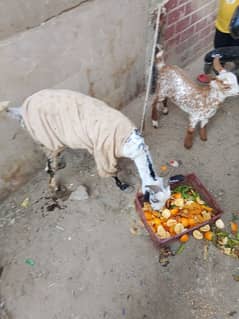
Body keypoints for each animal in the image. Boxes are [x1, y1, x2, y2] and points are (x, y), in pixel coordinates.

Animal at [4, 89, 171, 210]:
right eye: (154, 199)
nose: (158, 211)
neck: (132, 144)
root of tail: (21, 109)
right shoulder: (104, 152)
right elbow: (112, 172)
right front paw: (123, 186)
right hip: (47, 136)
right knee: (50, 166)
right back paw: (54, 186)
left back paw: (59, 165)